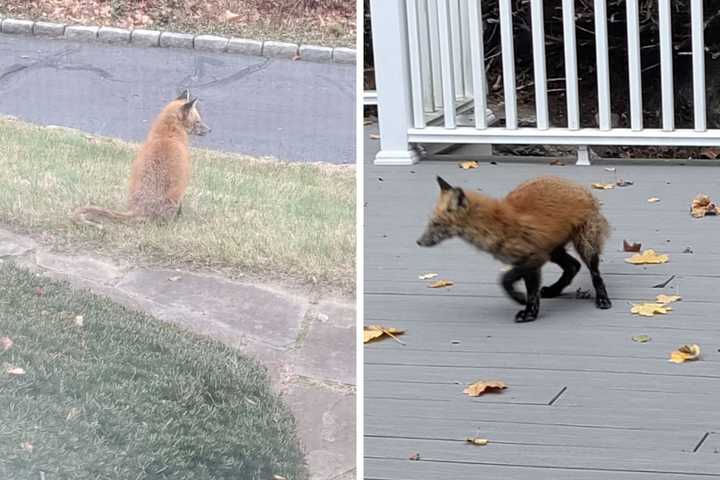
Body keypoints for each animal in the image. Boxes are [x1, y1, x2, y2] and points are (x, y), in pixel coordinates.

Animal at [416, 176, 612, 322]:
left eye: (436, 223)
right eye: (430, 222)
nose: (418, 242)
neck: (495, 226)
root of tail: (580, 187)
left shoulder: (535, 257)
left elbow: (507, 281)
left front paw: (523, 305)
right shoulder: (531, 260)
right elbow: (528, 290)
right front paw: (529, 310)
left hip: (585, 245)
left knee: (594, 274)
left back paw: (602, 299)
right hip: (554, 251)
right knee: (573, 266)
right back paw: (553, 290)